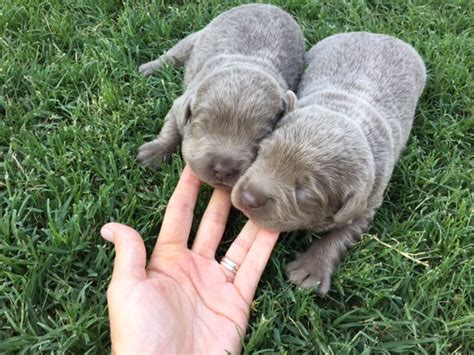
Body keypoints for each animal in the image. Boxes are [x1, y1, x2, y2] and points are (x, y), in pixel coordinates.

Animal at [139, 4, 306, 191]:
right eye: (202, 126)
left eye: (261, 137)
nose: (224, 169)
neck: (247, 63)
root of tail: (268, 5)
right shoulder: (179, 105)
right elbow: (171, 130)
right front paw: (153, 154)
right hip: (200, 35)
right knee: (176, 53)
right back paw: (148, 69)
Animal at [231, 32, 428, 294]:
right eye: (262, 151)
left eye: (304, 191)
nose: (248, 197)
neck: (346, 110)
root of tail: (382, 36)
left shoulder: (367, 203)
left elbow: (341, 234)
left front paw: (311, 270)